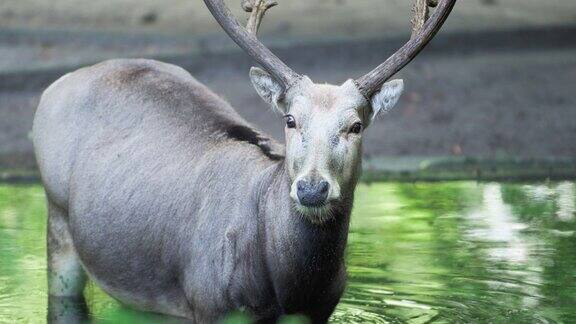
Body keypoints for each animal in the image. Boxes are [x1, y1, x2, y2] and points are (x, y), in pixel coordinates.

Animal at [33, 0, 456, 322]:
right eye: (290, 119)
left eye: (355, 125)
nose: (312, 188)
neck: (288, 286)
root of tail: (54, 87)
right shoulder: (207, 301)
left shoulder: (323, 309)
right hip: (57, 217)